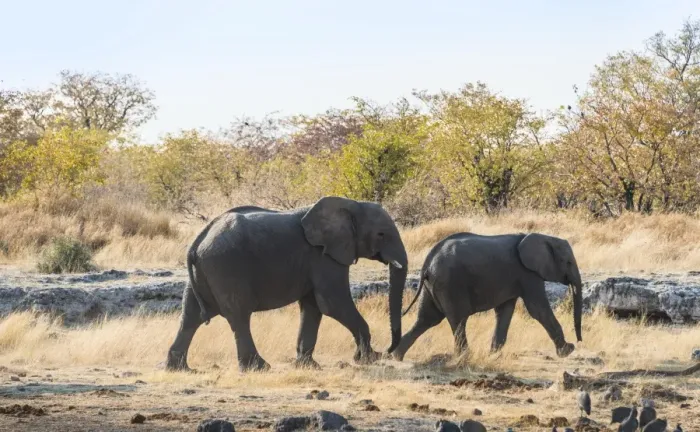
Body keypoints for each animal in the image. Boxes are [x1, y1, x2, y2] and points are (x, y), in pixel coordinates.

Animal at [165, 196, 408, 372]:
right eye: (381, 234)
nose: (388, 350)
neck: (351, 204)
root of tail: (198, 241)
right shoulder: (323, 256)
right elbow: (332, 303)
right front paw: (368, 359)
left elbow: (313, 306)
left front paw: (308, 365)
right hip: (225, 267)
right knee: (239, 315)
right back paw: (258, 367)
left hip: (205, 272)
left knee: (190, 315)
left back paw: (178, 369)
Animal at [392, 232, 583, 361]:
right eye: (568, 262)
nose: (579, 341)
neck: (545, 237)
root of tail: (427, 262)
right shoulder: (528, 274)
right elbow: (538, 310)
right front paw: (567, 351)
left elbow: (505, 311)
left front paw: (493, 354)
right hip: (450, 284)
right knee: (458, 319)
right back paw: (465, 357)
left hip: (432, 285)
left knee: (427, 319)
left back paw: (396, 356)